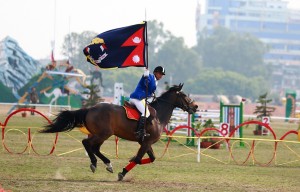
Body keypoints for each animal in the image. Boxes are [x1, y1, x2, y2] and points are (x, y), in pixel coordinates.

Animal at [39, 83, 199, 181]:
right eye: (184, 96)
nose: (196, 106)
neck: (158, 116)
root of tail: (90, 108)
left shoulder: (146, 142)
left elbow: (149, 158)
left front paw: (128, 162)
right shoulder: (146, 142)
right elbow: (138, 159)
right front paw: (122, 172)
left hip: (100, 135)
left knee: (94, 148)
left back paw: (107, 164)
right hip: (103, 134)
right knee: (87, 143)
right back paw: (95, 163)